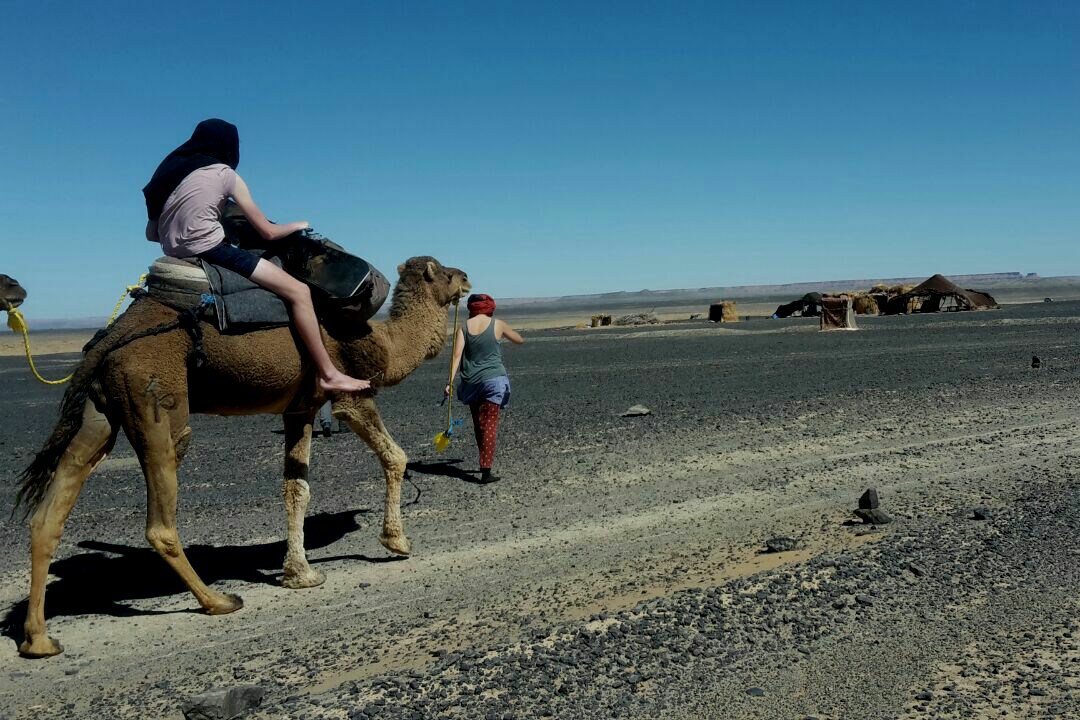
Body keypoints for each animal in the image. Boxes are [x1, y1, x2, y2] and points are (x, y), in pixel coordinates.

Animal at [12, 255, 468, 656]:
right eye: (445, 272)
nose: (466, 278)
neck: (386, 344)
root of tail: (109, 338)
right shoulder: (348, 397)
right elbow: (396, 457)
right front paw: (397, 541)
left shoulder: (300, 407)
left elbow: (296, 489)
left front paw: (299, 574)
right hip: (154, 397)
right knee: (160, 517)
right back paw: (217, 601)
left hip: (101, 410)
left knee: (51, 509)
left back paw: (39, 640)